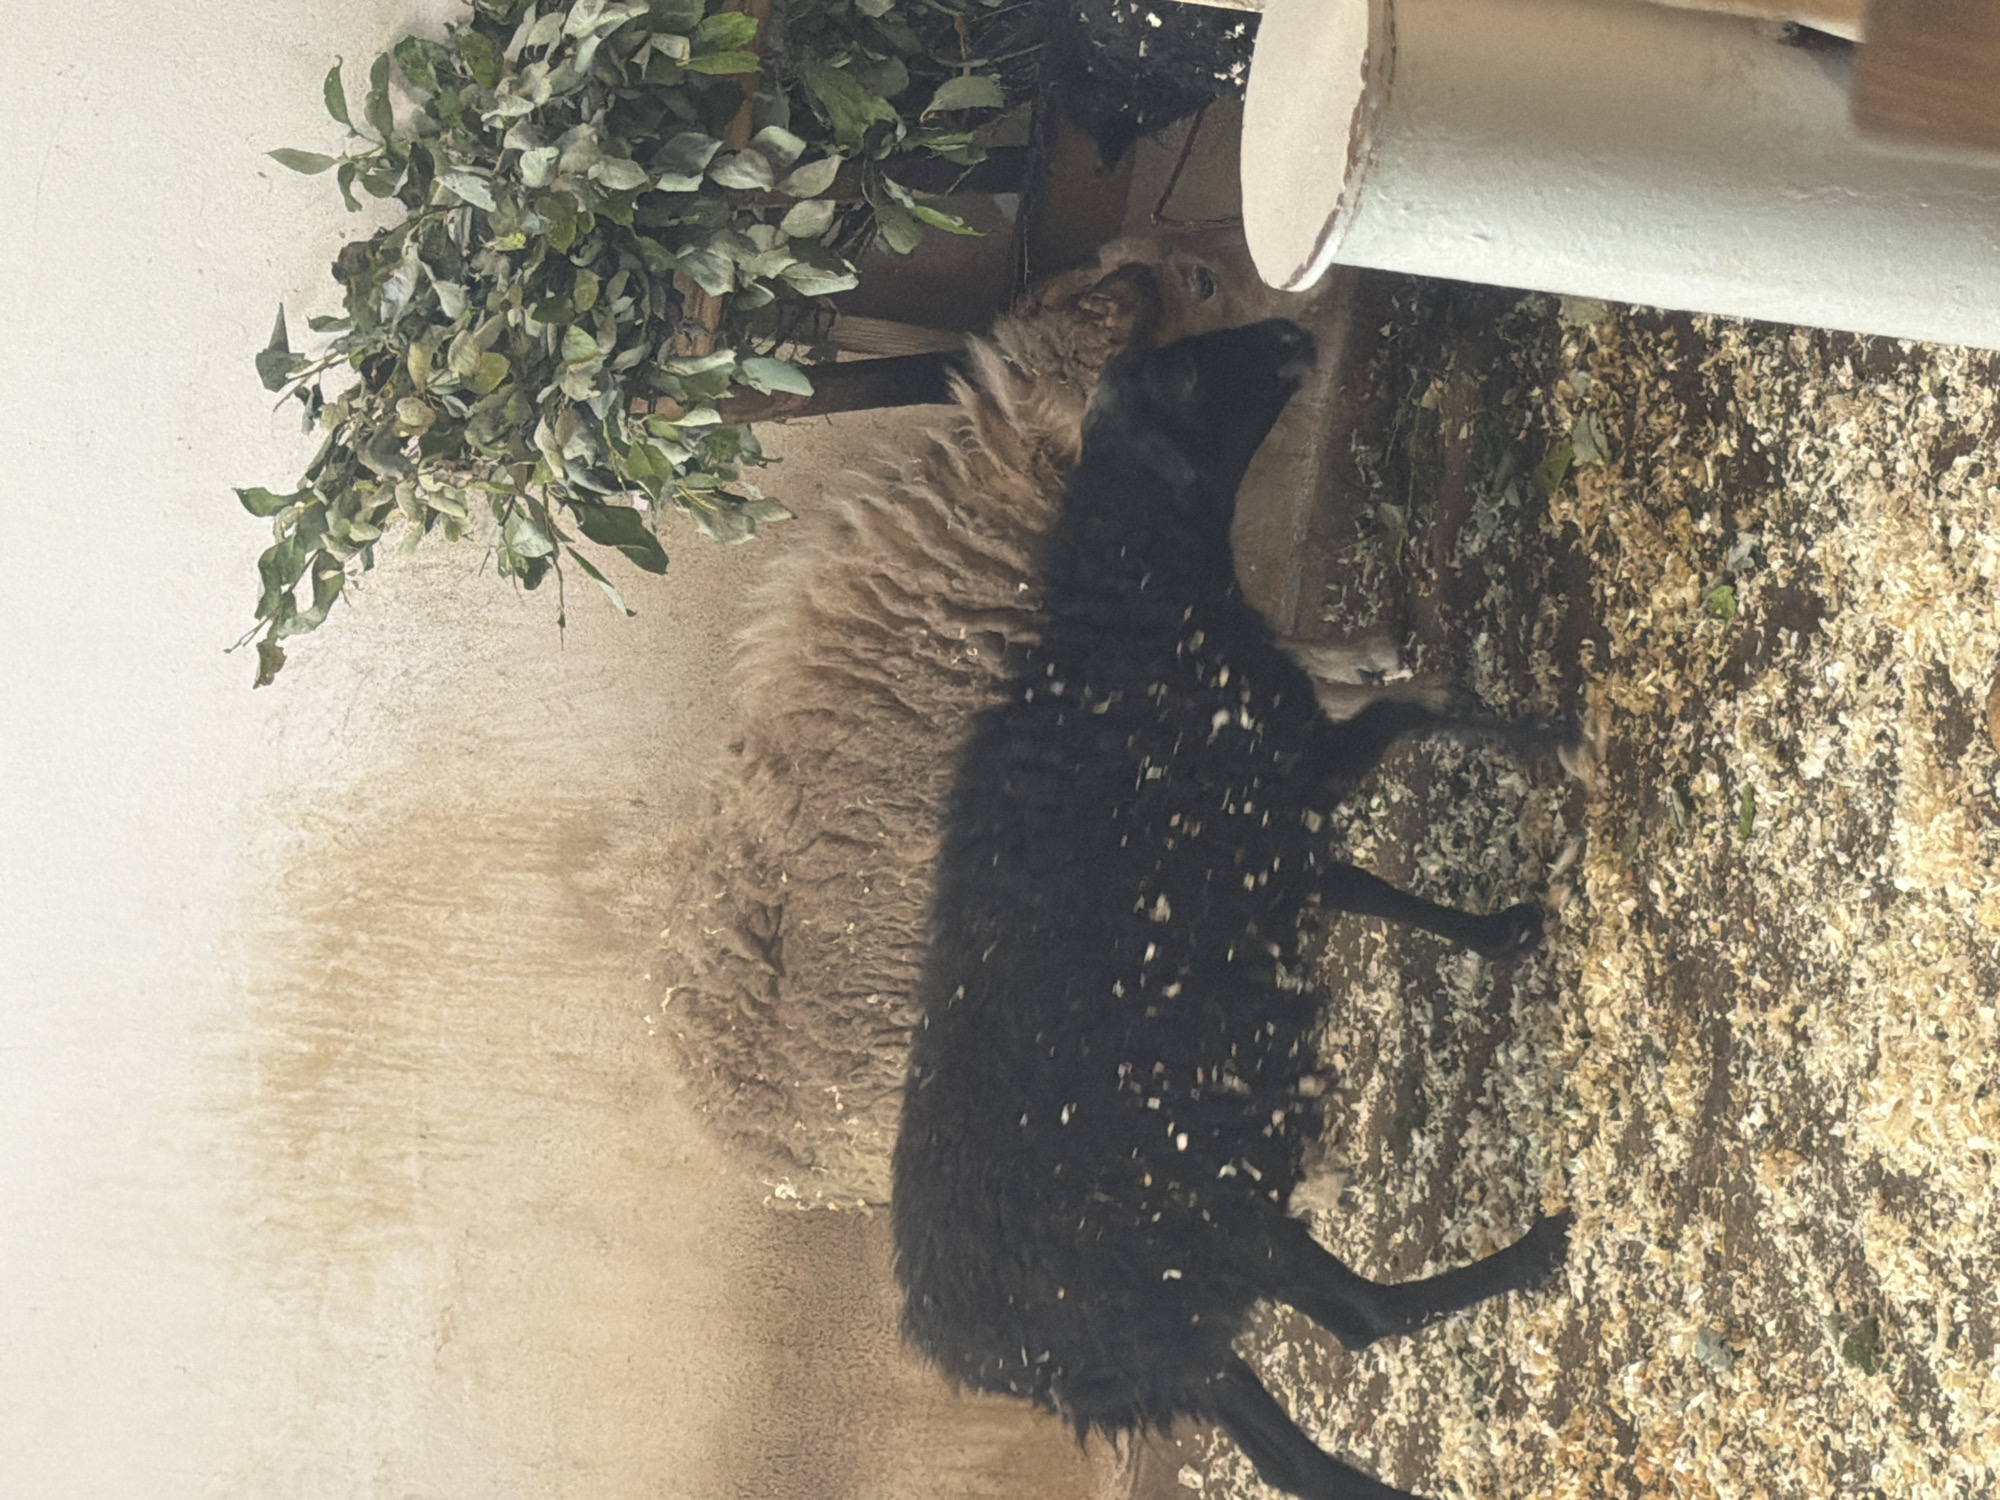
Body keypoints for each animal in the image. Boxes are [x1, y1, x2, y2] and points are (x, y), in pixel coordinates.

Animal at [892, 320, 1571, 1500]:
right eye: (1182, 374)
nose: (1292, 331)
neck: (1133, 603)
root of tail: (991, 1355)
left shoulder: (1270, 841)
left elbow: (1370, 888)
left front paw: (1502, 933)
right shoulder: (1286, 782)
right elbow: (1396, 722)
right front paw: (1531, 734)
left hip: (1180, 1297)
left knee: (1327, 1391)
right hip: (1196, 1232)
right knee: (1358, 1322)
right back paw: (1532, 1256)